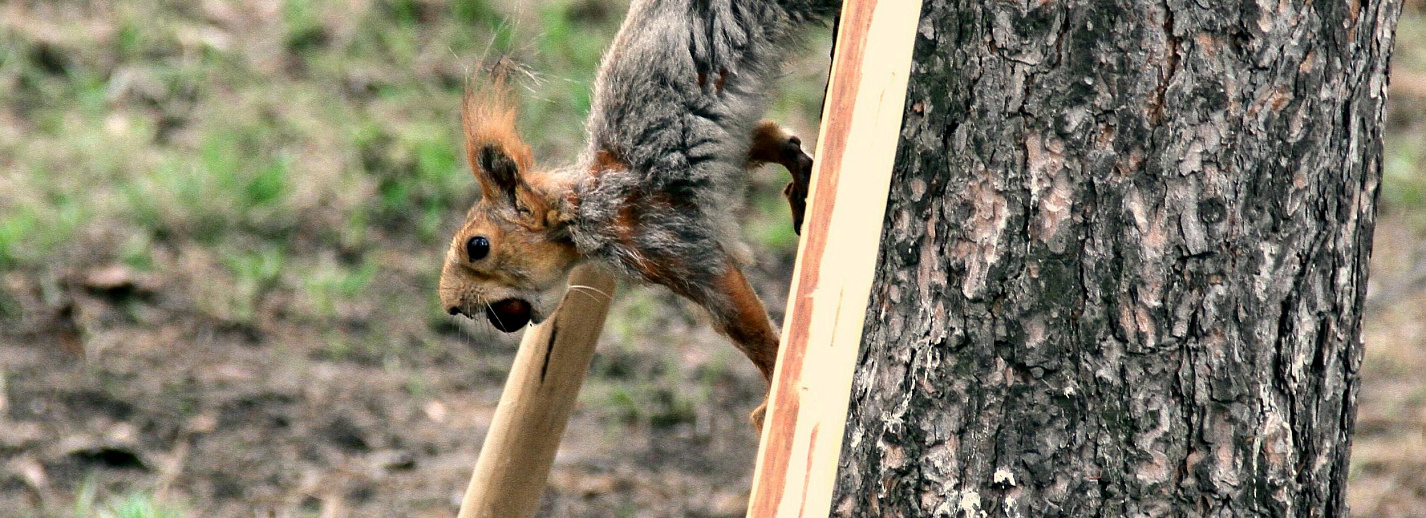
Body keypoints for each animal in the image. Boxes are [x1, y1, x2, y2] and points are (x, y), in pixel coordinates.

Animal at [433, 0, 832, 430]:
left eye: (478, 246)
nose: (450, 305)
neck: (587, 207)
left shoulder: (665, 240)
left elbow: (742, 320)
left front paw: (773, 386)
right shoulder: (726, 152)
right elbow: (768, 136)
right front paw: (797, 164)